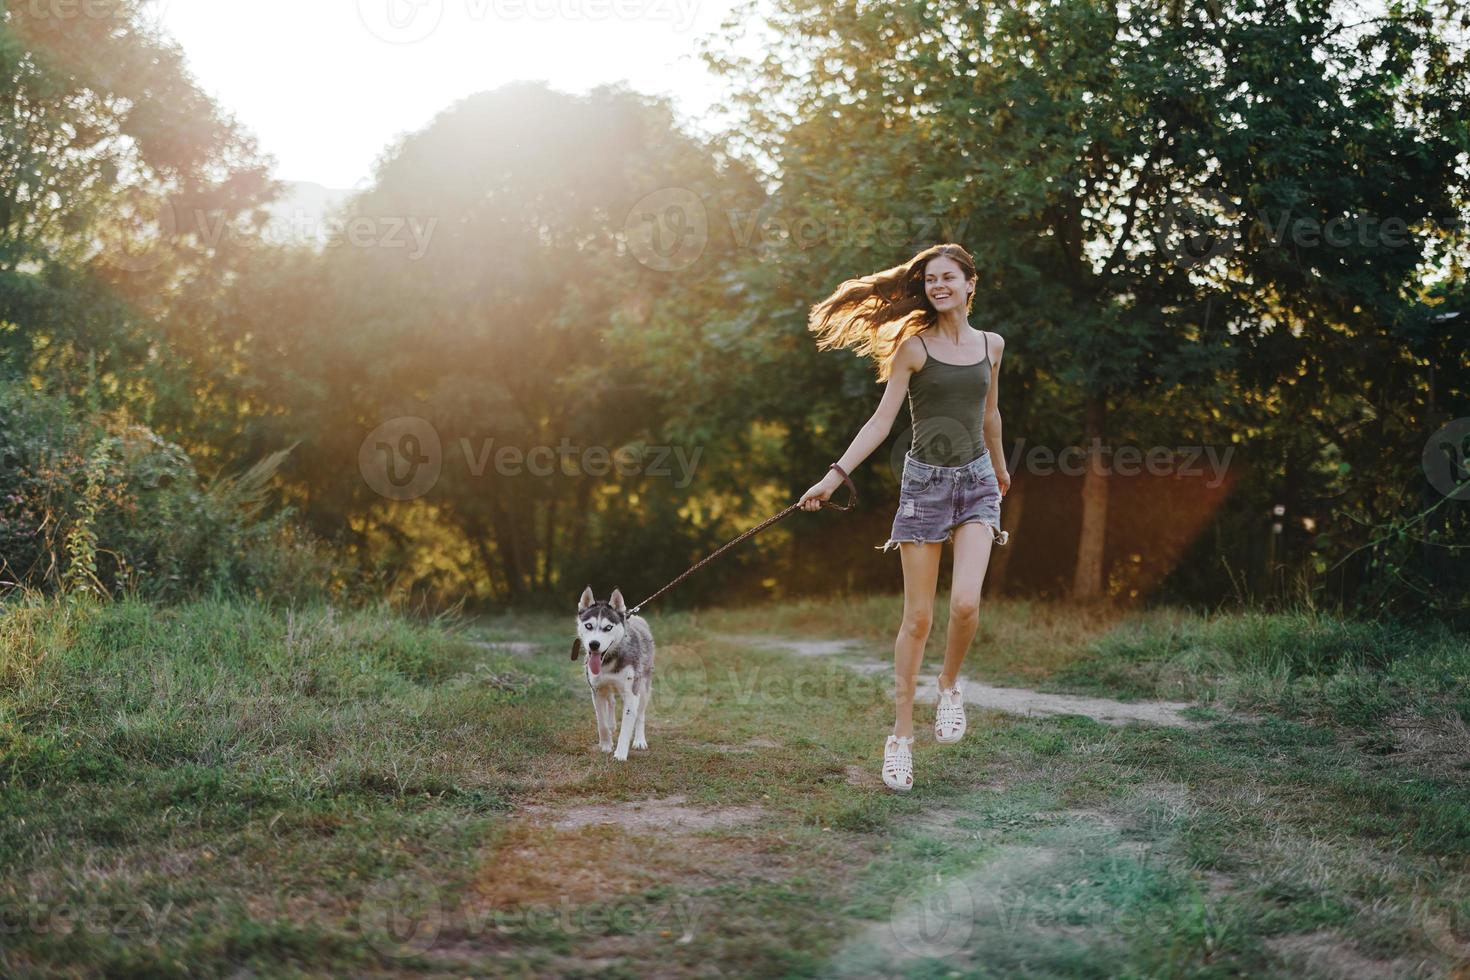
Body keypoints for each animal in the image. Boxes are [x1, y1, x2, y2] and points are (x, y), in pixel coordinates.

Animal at [567, 587, 655, 764]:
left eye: (608, 628)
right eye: (588, 625)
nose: (594, 644)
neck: (608, 660)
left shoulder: (631, 694)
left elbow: (627, 727)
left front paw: (620, 754)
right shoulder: (597, 691)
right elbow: (601, 723)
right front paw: (606, 745)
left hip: (644, 687)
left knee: (640, 714)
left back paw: (639, 740)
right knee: (612, 701)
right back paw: (612, 724)